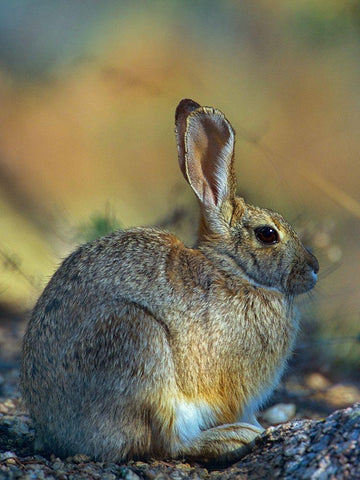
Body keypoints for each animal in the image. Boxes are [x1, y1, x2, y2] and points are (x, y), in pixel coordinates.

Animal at [20, 99, 318, 464]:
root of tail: (58, 434)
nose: (314, 268)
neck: (232, 270)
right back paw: (234, 438)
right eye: (267, 235)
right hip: (140, 347)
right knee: (167, 442)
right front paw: (256, 429)